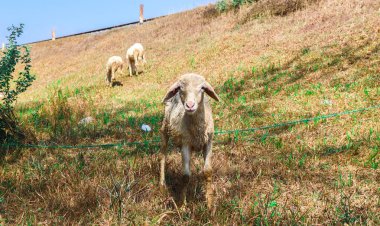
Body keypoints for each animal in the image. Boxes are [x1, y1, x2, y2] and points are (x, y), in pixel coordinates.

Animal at [160, 73, 220, 209]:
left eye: (202, 88)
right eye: (180, 88)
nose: (190, 105)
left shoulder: (208, 142)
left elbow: (208, 171)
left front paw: (210, 204)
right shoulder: (185, 144)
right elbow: (186, 176)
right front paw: (182, 205)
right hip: (165, 128)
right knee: (162, 156)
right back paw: (161, 184)